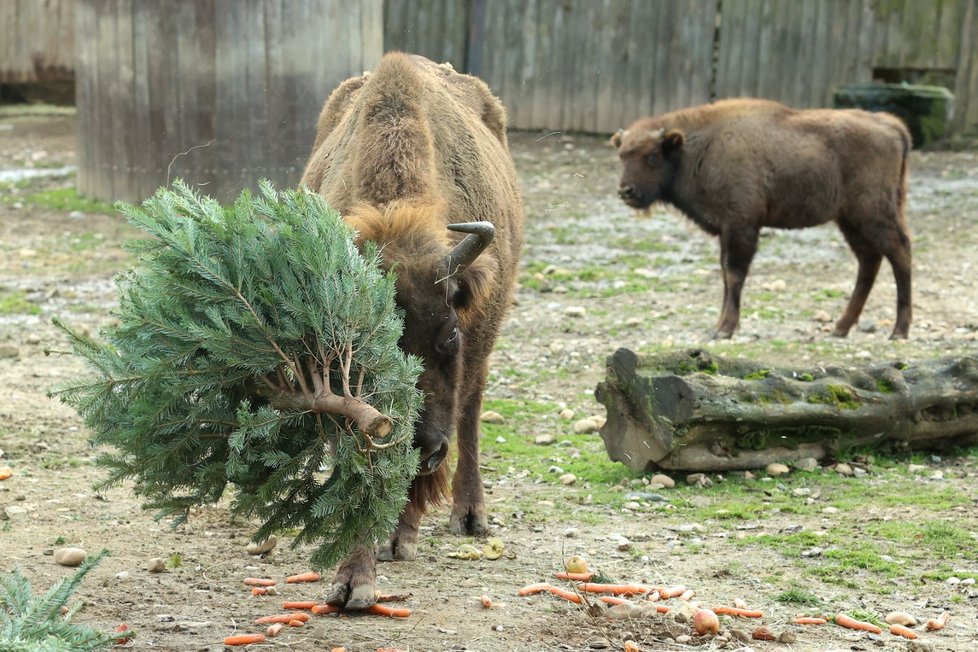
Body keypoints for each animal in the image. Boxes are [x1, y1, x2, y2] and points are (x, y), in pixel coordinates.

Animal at [300, 53, 524, 608]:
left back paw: (467, 516)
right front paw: (353, 579)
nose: (425, 446)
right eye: (367, 347)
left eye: (448, 335)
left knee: (470, 410)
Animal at [612, 99, 912, 342]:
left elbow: (734, 275)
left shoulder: (741, 225)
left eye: (652, 155)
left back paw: (899, 331)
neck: (698, 148)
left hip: (874, 216)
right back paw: (841, 327)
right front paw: (719, 326)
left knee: (899, 254)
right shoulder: (726, 231)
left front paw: (724, 330)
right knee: (869, 262)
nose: (626, 191)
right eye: (622, 155)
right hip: (850, 221)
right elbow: (725, 275)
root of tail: (891, 125)